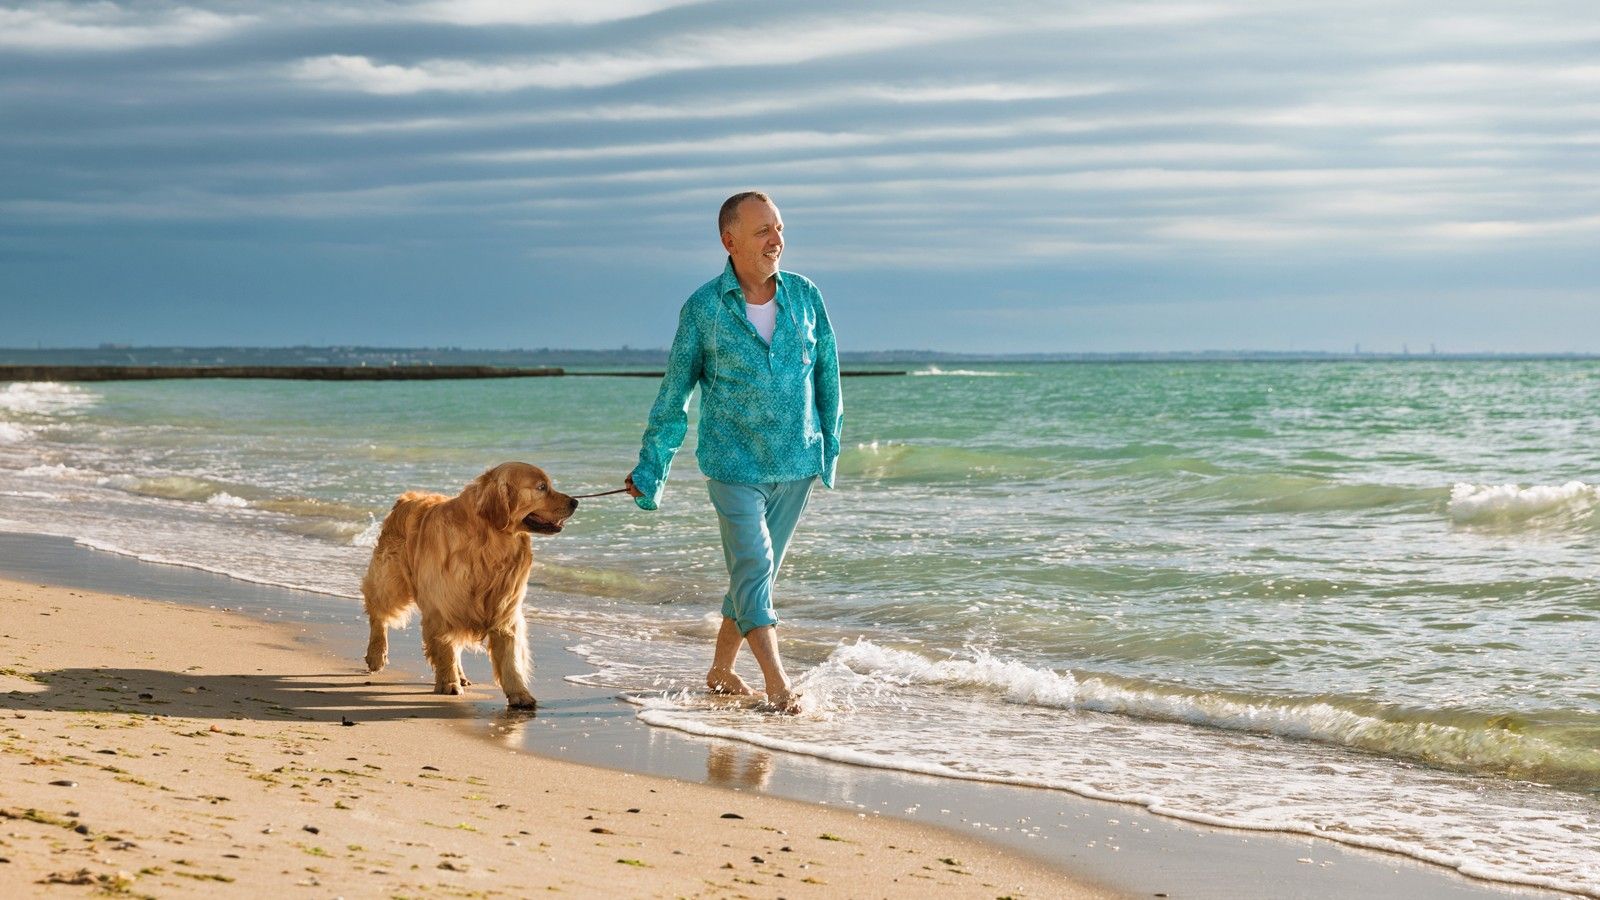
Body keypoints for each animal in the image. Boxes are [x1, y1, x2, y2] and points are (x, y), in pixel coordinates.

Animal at [361, 461, 576, 707]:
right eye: (542, 487)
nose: (575, 502)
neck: (489, 544)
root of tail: (406, 499)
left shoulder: (504, 609)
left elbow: (510, 658)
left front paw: (520, 693)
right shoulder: (443, 605)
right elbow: (445, 647)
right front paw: (448, 683)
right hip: (391, 581)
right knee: (378, 612)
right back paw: (376, 654)